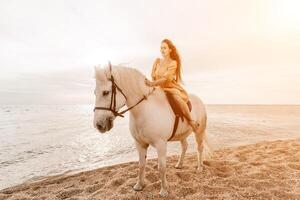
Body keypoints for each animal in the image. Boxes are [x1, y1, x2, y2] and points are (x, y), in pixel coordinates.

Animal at [92, 64, 210, 197]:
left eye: (106, 92)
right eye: (95, 93)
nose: (98, 124)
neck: (144, 111)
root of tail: (199, 100)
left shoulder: (161, 144)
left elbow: (161, 167)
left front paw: (164, 190)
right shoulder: (140, 144)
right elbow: (141, 165)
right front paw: (139, 185)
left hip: (199, 132)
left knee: (199, 148)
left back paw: (199, 167)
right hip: (182, 134)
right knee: (184, 146)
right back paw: (179, 165)